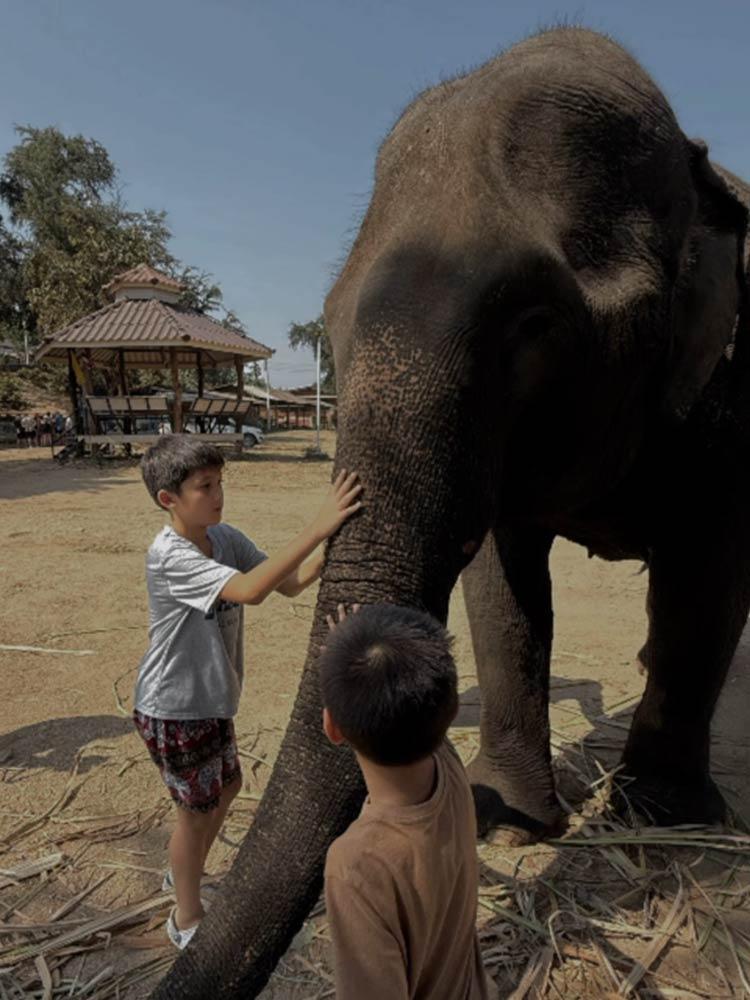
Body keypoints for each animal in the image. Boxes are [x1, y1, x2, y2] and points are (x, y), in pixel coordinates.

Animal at [152, 26, 750, 999]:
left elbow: (708, 573)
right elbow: (504, 587)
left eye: (536, 323)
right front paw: (506, 815)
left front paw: (660, 821)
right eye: (329, 317)